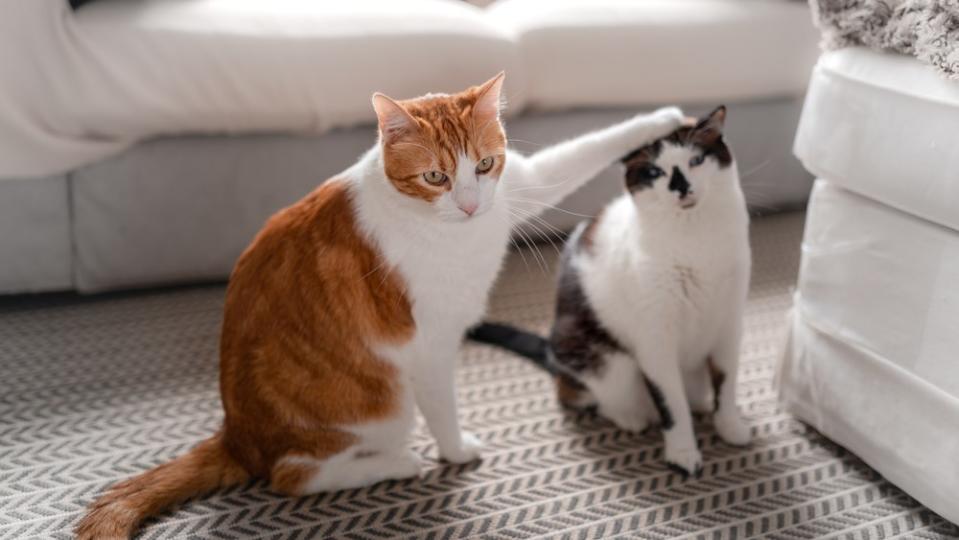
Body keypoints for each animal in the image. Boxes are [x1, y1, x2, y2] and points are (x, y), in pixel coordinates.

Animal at [77, 74, 684, 536]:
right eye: (435, 176)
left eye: (485, 165)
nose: (470, 206)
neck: (451, 228)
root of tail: (237, 434)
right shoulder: (430, 343)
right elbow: (444, 408)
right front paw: (456, 452)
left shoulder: (517, 186)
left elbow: (580, 152)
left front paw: (660, 119)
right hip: (383, 406)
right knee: (291, 475)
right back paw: (397, 462)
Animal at [470, 106, 752, 476]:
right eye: (655, 172)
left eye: (697, 160)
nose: (682, 187)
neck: (696, 241)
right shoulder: (655, 343)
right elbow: (671, 404)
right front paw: (682, 452)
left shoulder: (729, 327)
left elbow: (727, 383)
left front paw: (730, 427)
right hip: (603, 360)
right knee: (579, 395)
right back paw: (631, 417)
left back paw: (701, 404)